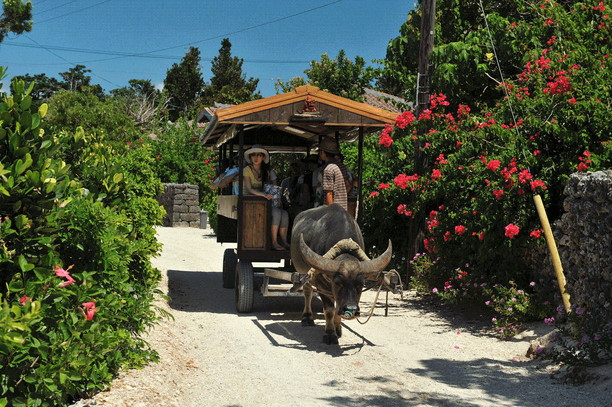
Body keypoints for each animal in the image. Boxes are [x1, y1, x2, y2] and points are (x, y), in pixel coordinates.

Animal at [292, 204, 392, 344]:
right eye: (337, 283)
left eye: (361, 284)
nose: (351, 310)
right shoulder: (322, 285)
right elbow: (329, 310)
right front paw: (330, 334)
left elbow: (338, 306)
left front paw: (338, 329)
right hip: (303, 272)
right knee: (307, 292)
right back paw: (307, 318)